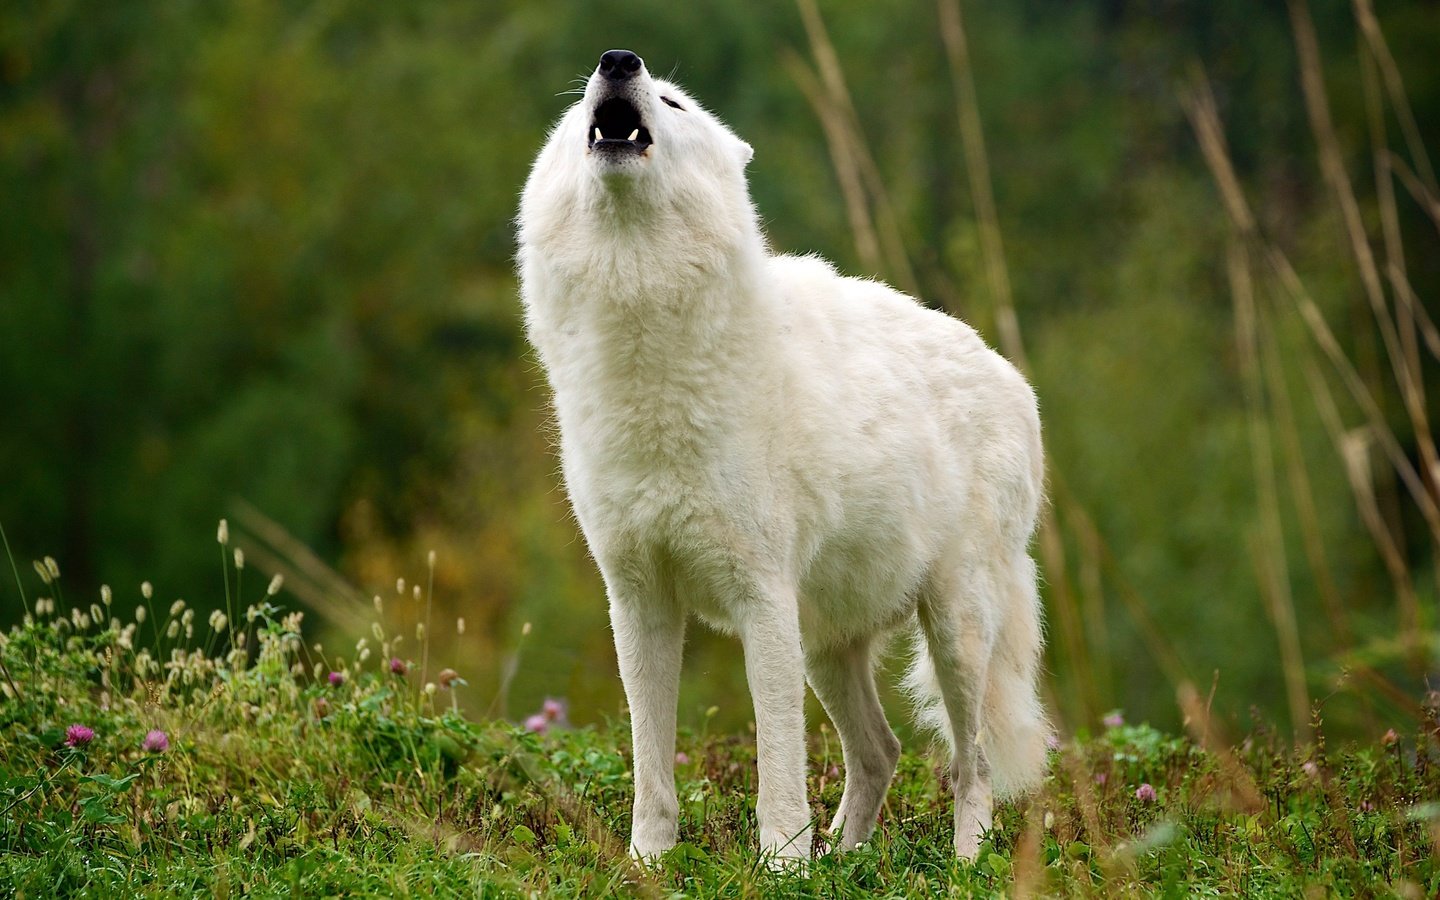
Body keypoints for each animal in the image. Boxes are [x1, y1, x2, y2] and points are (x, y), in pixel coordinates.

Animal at [518, 47, 1048, 864]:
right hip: (827, 647)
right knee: (882, 752)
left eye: (673, 102)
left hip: (953, 631)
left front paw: (782, 865)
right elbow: (651, 766)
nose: (617, 60)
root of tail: (1011, 376)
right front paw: (648, 863)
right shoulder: (638, 602)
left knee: (971, 761)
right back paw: (848, 861)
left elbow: (776, 762)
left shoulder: (760, 597)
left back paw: (961, 863)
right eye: (582, 105)